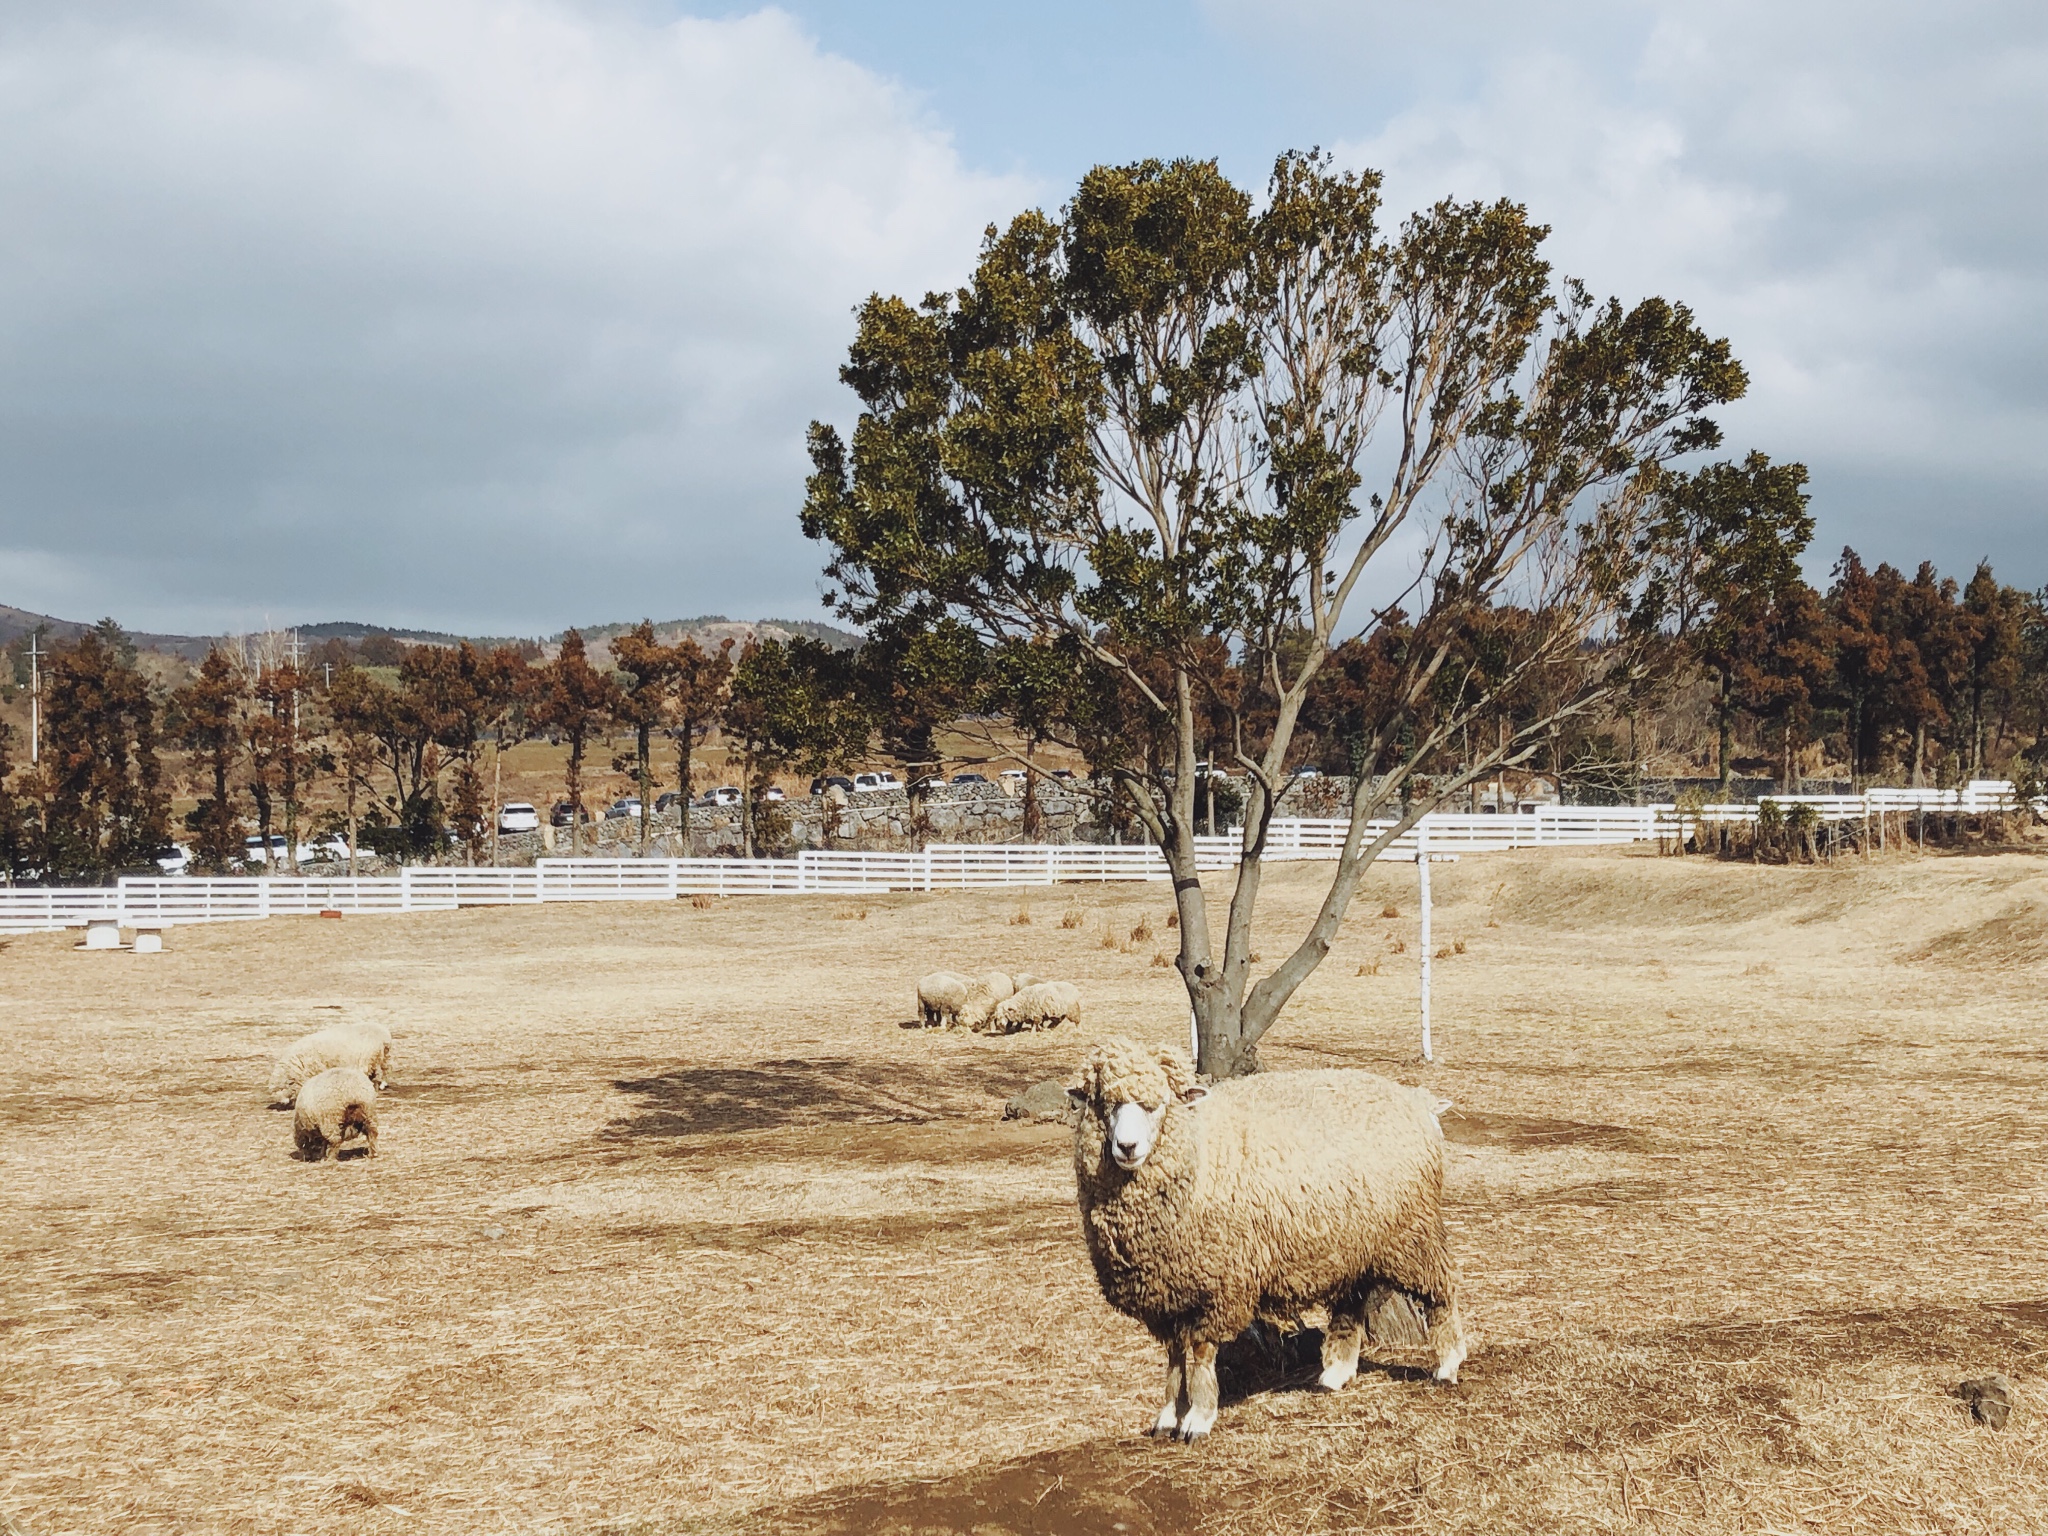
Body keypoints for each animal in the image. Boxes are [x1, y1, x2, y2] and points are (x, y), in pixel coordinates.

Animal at [1064, 1040, 1466, 1449]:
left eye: (1157, 1104)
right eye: (1105, 1104)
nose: (1126, 1147)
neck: (1201, 1148)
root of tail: (1417, 1101)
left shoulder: (1220, 1286)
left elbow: (1202, 1352)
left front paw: (1198, 1418)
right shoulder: (1166, 1292)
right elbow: (1175, 1356)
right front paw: (1166, 1417)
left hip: (1412, 1232)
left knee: (1440, 1290)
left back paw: (1448, 1364)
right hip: (1355, 1244)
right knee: (1351, 1302)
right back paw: (1336, 1373)